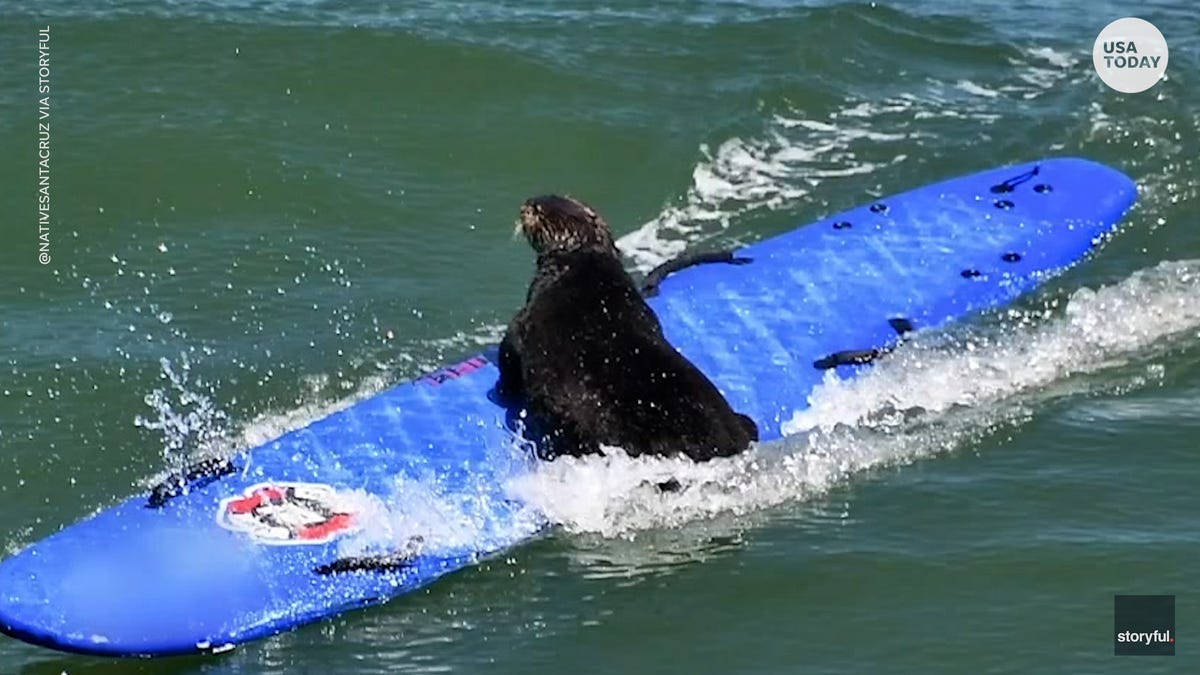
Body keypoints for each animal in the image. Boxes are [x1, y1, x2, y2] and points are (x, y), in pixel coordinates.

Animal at [496, 194, 758, 461]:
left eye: (537, 208)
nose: (528, 202)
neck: (583, 262)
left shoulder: (528, 314)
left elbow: (509, 350)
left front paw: (502, 390)